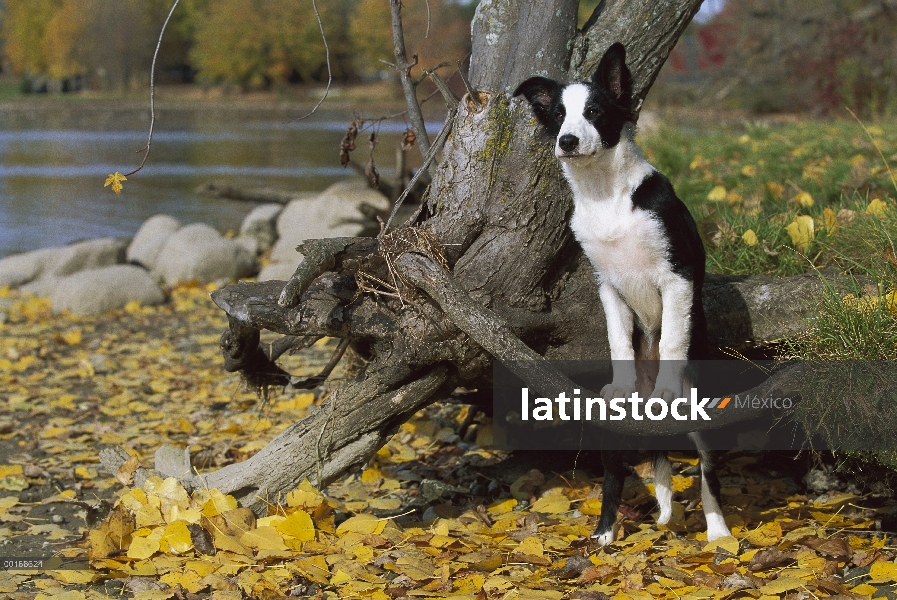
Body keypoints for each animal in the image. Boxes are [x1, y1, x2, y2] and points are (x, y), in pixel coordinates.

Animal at [520, 43, 728, 544]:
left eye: (595, 111)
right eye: (558, 115)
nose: (567, 142)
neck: (604, 194)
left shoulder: (677, 276)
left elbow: (671, 338)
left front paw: (669, 386)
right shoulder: (608, 286)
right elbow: (618, 341)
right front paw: (622, 382)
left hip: (704, 420)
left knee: (708, 471)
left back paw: (719, 534)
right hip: (611, 433)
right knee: (615, 475)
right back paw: (604, 534)